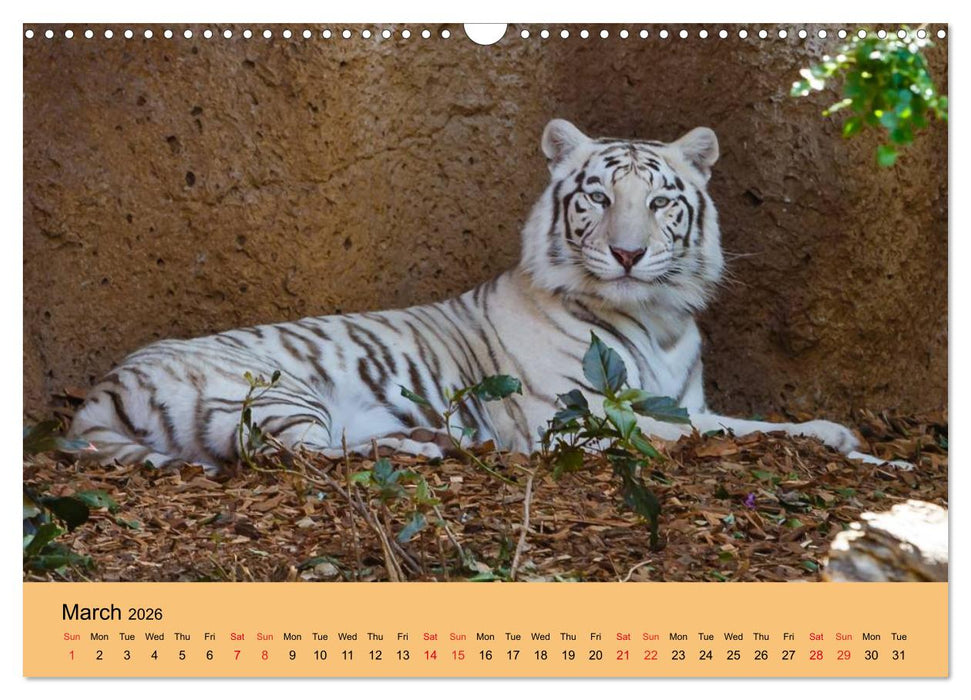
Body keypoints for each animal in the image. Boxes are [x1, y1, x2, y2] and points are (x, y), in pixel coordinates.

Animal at [69, 118, 888, 470]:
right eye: (597, 196)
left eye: (660, 202)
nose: (627, 253)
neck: (653, 320)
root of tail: (100, 393)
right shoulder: (579, 419)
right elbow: (715, 433)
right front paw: (853, 448)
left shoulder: (679, 399)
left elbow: (740, 422)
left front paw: (848, 441)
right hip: (275, 390)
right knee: (304, 455)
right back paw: (430, 449)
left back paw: (442, 442)